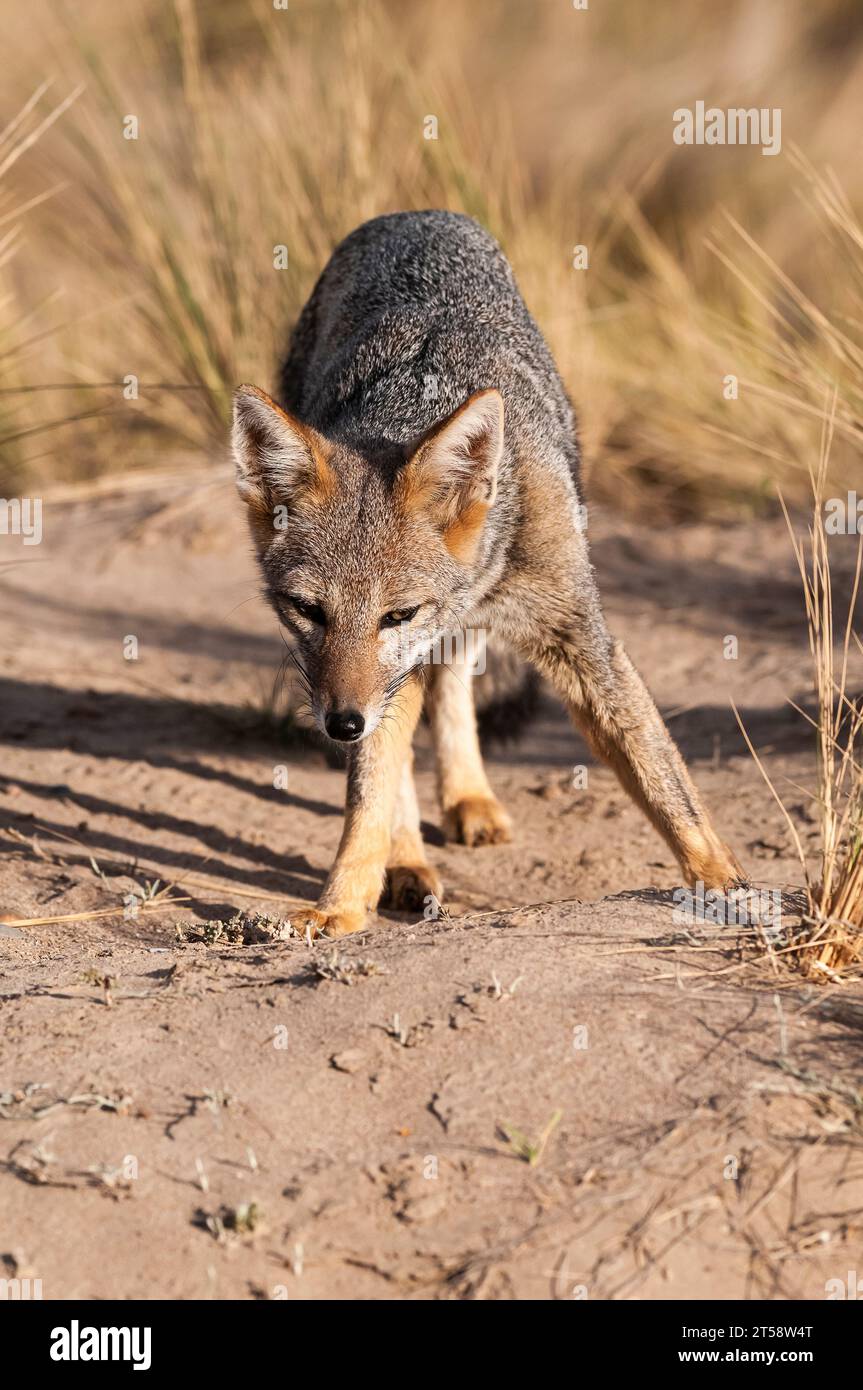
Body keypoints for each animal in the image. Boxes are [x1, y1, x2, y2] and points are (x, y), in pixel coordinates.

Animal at [230, 214, 739, 934]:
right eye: (309, 611)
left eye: (397, 614)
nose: (340, 725)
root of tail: (413, 213)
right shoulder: (383, 682)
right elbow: (369, 793)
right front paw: (342, 904)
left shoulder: (576, 636)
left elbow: (661, 776)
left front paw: (722, 880)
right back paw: (408, 863)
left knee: (451, 691)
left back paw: (467, 798)